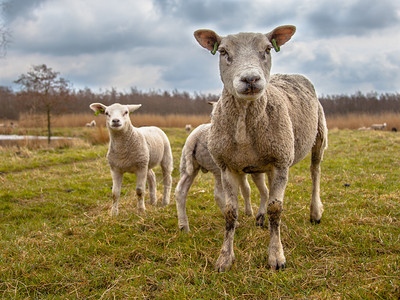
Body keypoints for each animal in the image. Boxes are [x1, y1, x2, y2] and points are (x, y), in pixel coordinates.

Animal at [194, 24, 328, 270]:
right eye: (223, 52)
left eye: (268, 49)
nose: (250, 79)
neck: (245, 125)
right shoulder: (227, 167)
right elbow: (230, 213)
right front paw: (225, 258)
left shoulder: (281, 162)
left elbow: (277, 209)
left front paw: (276, 256)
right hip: (262, 163)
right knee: (265, 190)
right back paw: (260, 217)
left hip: (318, 136)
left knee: (315, 173)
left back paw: (315, 212)